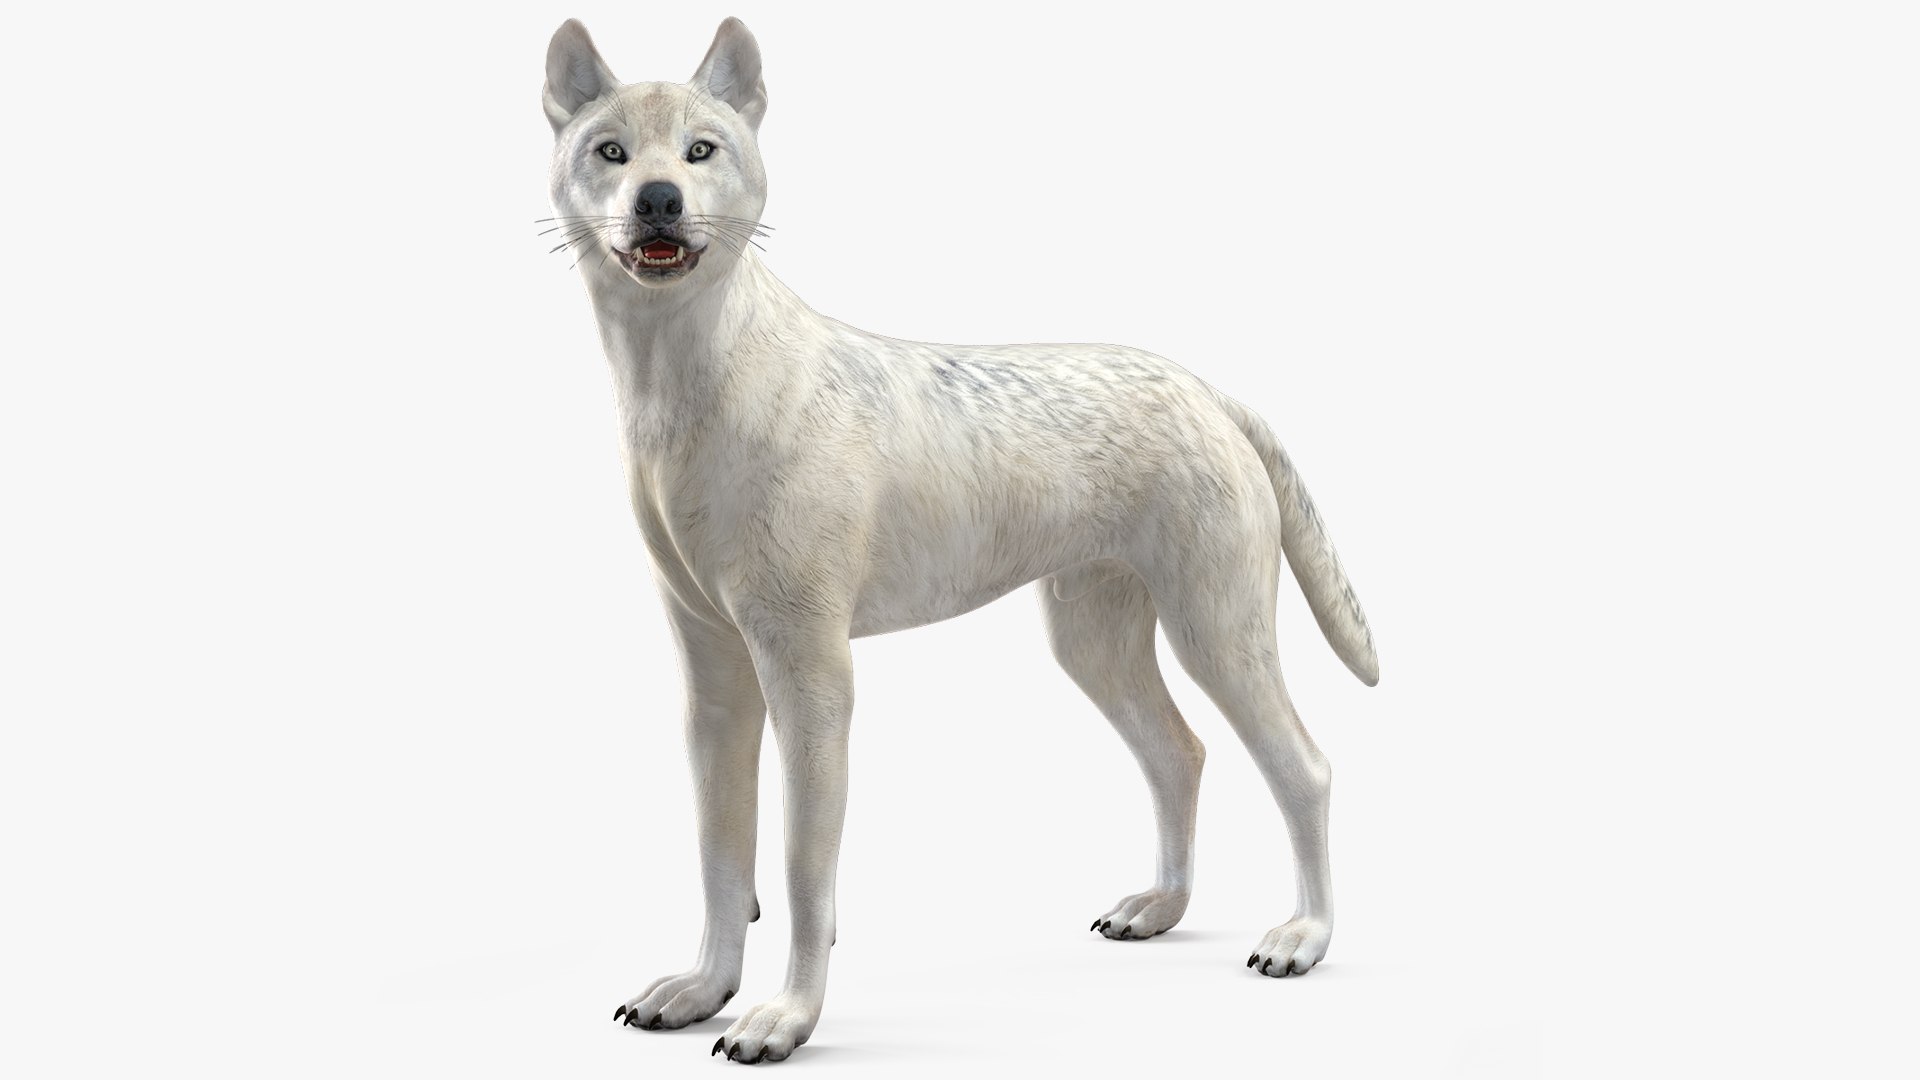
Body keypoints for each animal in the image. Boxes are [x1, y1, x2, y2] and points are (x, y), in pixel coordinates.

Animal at [541, 17, 1379, 1063]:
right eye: (610, 151)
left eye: (701, 150)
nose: (658, 200)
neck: (688, 383)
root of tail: (1208, 389)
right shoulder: (716, 680)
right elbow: (719, 856)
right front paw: (703, 992)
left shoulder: (812, 676)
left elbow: (804, 867)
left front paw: (784, 1020)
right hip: (1094, 643)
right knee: (1178, 754)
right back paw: (1159, 908)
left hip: (1216, 633)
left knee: (1304, 769)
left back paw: (1304, 937)